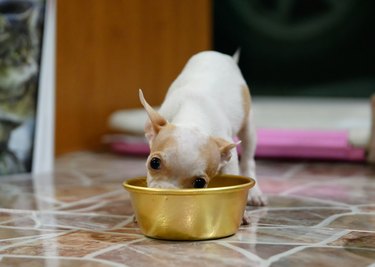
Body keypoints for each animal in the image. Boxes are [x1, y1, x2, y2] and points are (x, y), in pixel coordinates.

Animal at [140, 51, 266, 207]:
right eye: (154, 163)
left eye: (199, 183)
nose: (166, 194)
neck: (193, 117)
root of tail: (221, 55)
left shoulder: (229, 153)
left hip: (248, 126)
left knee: (248, 159)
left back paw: (255, 193)